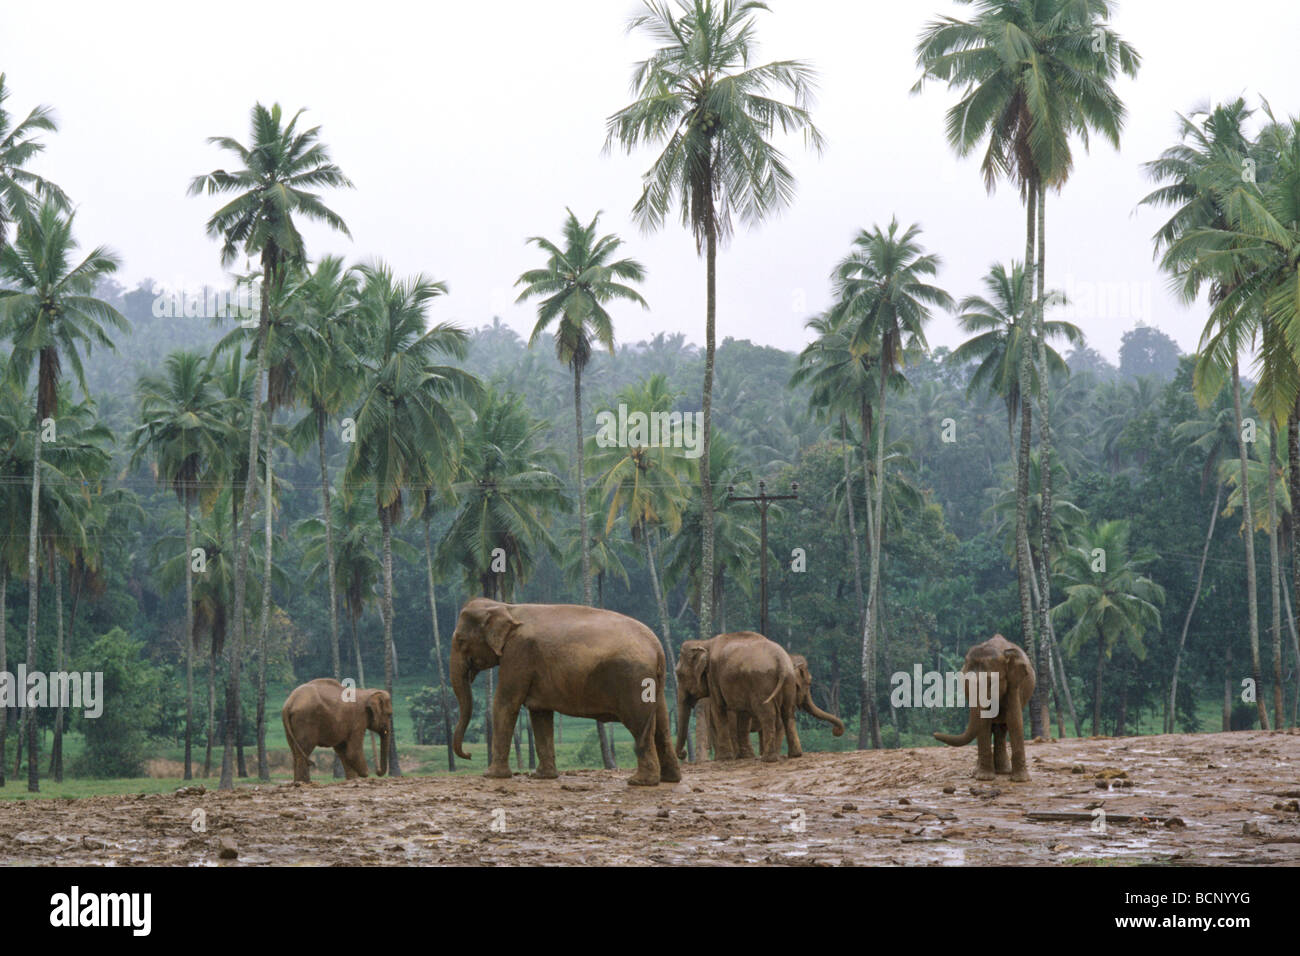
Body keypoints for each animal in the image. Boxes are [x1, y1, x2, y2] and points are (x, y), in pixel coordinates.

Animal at [449, 598, 681, 790]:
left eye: (460, 640)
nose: (468, 755)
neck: (505, 606)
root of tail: (658, 647)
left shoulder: (519, 653)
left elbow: (506, 703)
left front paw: (491, 775)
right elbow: (539, 712)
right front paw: (542, 777)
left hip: (634, 680)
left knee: (639, 724)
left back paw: (640, 782)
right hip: (654, 683)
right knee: (661, 724)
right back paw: (670, 779)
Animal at [676, 634, 795, 764]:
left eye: (679, 675)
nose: (683, 753)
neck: (704, 643)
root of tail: (780, 661)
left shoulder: (713, 677)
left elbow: (718, 709)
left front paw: (723, 758)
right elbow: (743, 714)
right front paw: (746, 756)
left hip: (761, 683)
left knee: (767, 714)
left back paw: (768, 759)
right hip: (788, 680)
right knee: (787, 711)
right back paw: (795, 754)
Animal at [935, 632, 1034, 780]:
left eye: (991, 682)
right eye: (964, 683)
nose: (934, 734)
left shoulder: (1014, 685)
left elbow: (1014, 719)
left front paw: (1021, 780)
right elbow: (985, 723)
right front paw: (984, 778)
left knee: (1001, 728)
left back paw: (1003, 771)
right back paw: (982, 771)